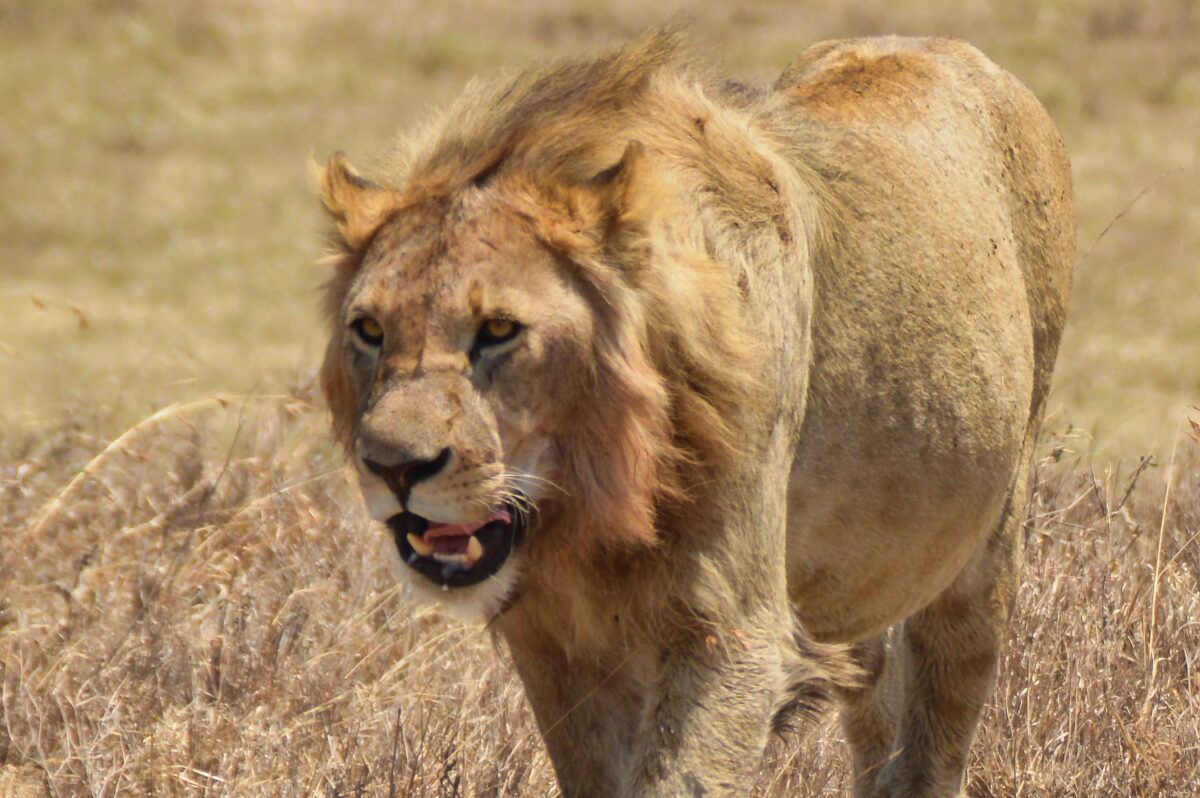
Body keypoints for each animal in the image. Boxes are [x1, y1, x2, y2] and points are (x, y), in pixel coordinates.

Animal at [314, 32, 1073, 797]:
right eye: (370, 330)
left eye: (499, 329)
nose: (393, 468)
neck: (599, 494)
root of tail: (939, 42)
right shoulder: (554, 642)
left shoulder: (730, 630)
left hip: (987, 542)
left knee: (937, 728)